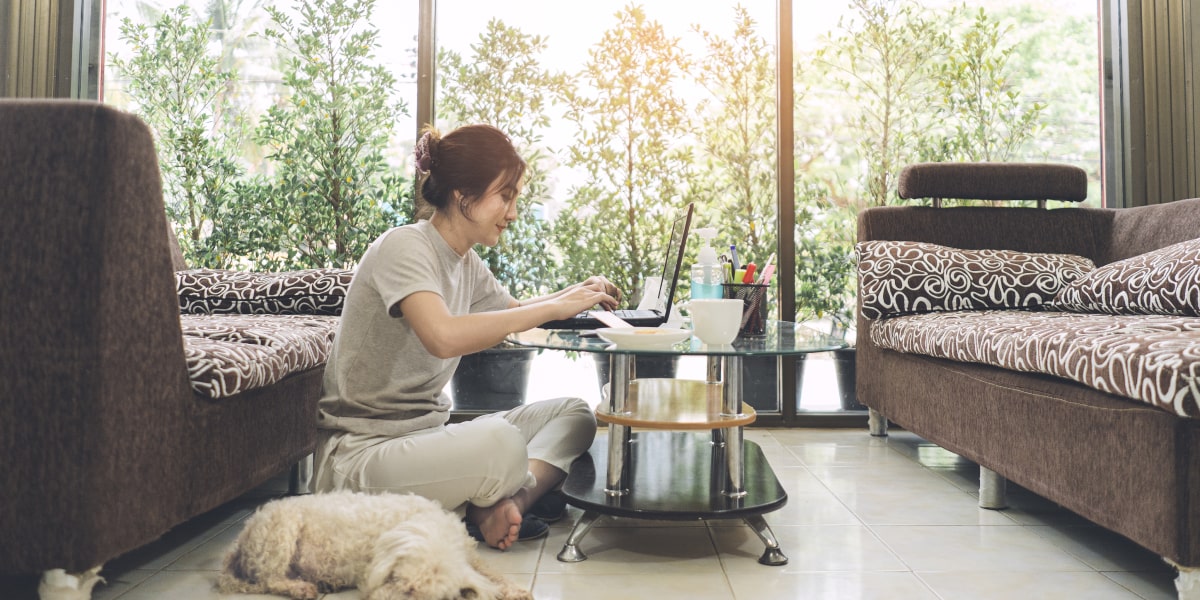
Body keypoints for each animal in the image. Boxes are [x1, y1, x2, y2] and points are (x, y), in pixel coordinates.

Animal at [217, 492, 535, 600]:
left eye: (416, 596)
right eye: (395, 579)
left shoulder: (470, 557)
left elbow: (490, 573)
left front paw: (514, 590)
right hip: (282, 531)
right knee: (269, 579)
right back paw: (301, 588)